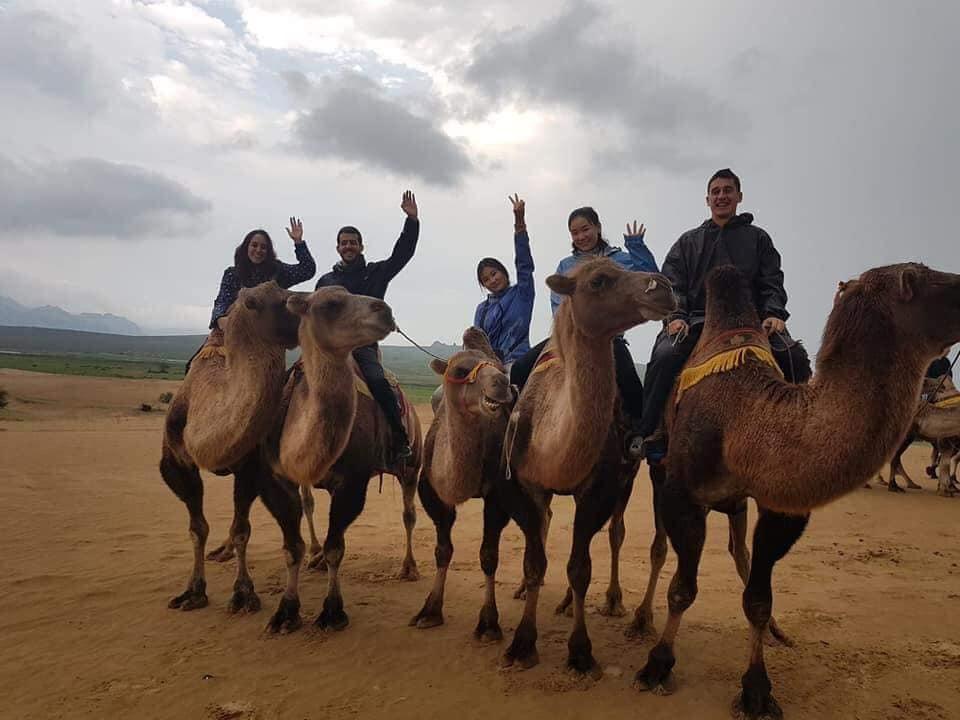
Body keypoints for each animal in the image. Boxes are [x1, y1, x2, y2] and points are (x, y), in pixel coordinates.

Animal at [158, 282, 300, 612]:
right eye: (286, 301)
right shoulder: (174, 463)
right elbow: (198, 528)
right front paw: (193, 592)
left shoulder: (249, 466)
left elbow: (241, 530)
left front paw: (243, 594)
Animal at [266, 284, 424, 632]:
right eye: (331, 303)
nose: (385, 311)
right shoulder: (280, 478)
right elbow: (292, 547)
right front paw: (286, 612)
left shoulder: (353, 481)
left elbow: (336, 547)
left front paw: (332, 611)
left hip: (412, 466)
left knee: (409, 514)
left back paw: (409, 568)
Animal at [410, 326, 516, 636]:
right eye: (460, 369)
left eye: (500, 367)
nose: (501, 383)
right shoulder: (432, 492)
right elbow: (443, 550)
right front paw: (430, 611)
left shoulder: (497, 496)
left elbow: (489, 555)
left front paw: (489, 622)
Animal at [496, 258, 676, 676]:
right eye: (598, 281)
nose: (663, 286)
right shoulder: (528, 485)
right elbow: (535, 562)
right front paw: (522, 643)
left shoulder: (598, 490)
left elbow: (580, 568)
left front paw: (580, 652)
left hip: (631, 476)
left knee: (616, 533)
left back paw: (614, 601)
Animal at [632, 264, 960, 720]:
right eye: (929, 278)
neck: (743, 416)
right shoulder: (682, 493)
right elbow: (682, 588)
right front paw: (657, 665)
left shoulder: (782, 508)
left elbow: (757, 598)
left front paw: (756, 689)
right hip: (658, 467)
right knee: (660, 548)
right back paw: (639, 619)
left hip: (735, 503)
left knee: (740, 553)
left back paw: (775, 632)